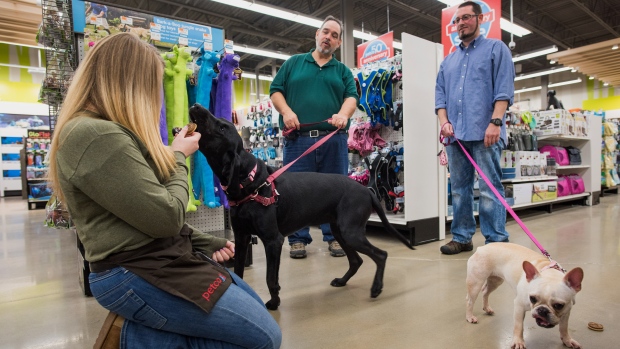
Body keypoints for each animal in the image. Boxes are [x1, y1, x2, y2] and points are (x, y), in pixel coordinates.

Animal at [188, 104, 412, 310]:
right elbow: (239, 272)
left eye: (222, 127)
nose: (196, 106)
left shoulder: (273, 240)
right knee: (356, 260)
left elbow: (270, 278)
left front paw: (274, 303)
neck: (250, 183)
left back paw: (376, 288)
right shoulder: (242, 238)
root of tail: (366, 190)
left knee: (380, 255)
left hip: (350, 232)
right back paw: (342, 281)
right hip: (340, 231)